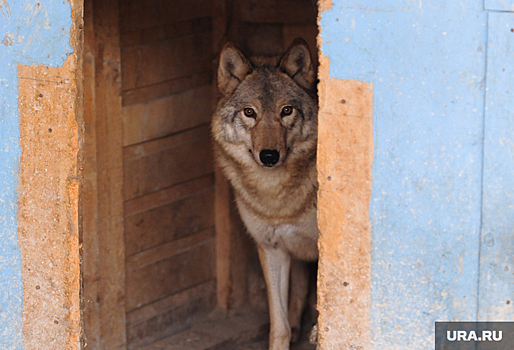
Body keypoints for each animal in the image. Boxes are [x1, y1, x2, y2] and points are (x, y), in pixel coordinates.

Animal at [211, 38, 316, 350]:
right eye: (249, 112)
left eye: (286, 111)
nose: (269, 156)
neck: (278, 201)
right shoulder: (272, 250)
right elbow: (278, 327)